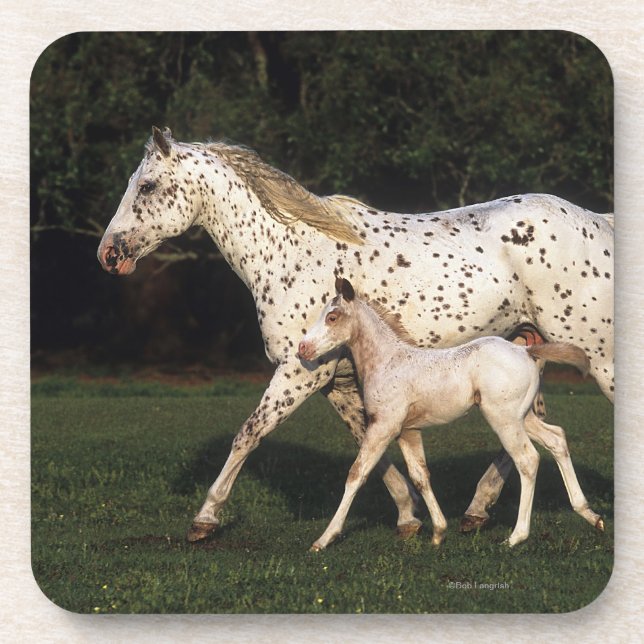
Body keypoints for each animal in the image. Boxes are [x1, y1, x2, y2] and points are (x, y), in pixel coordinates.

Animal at [298, 277, 604, 550]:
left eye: (333, 317)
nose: (303, 348)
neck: (387, 361)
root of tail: (527, 351)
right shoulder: (408, 431)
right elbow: (420, 476)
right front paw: (439, 532)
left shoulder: (383, 425)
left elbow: (357, 474)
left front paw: (324, 539)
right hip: (523, 417)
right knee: (556, 438)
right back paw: (590, 515)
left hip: (504, 419)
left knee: (528, 460)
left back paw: (516, 537)